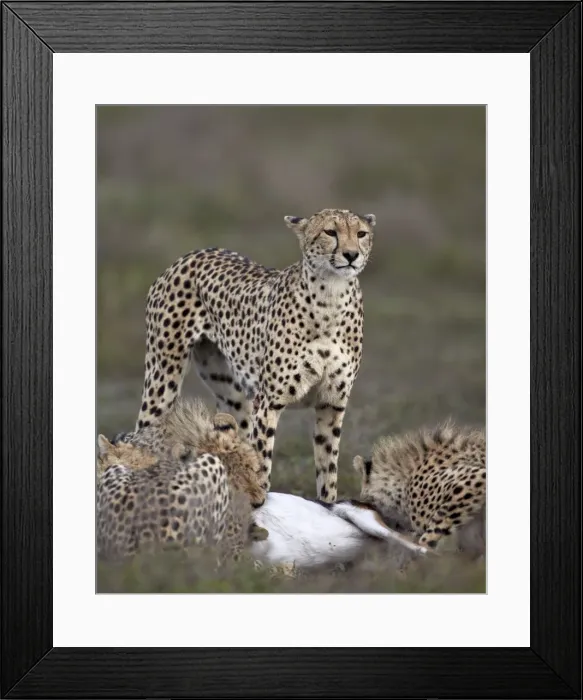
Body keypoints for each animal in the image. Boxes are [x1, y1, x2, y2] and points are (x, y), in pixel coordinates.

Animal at [134, 208, 376, 503]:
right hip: (162, 379)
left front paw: (328, 505)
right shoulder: (269, 401)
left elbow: (327, 471)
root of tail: (193, 253)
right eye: (330, 232)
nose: (351, 255)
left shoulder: (331, 404)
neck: (331, 297)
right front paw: (260, 501)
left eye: (361, 233)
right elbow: (262, 462)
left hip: (233, 396)